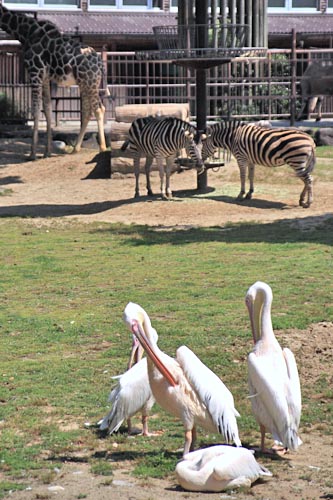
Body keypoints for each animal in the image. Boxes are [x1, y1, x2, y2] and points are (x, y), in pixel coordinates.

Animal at [0, 5, 106, 158]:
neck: (25, 32)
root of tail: (100, 64)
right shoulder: (44, 77)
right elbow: (48, 108)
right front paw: (47, 152)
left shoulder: (35, 71)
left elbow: (36, 109)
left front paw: (33, 153)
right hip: (86, 83)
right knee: (88, 111)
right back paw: (76, 149)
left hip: (90, 82)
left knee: (98, 109)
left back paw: (103, 148)